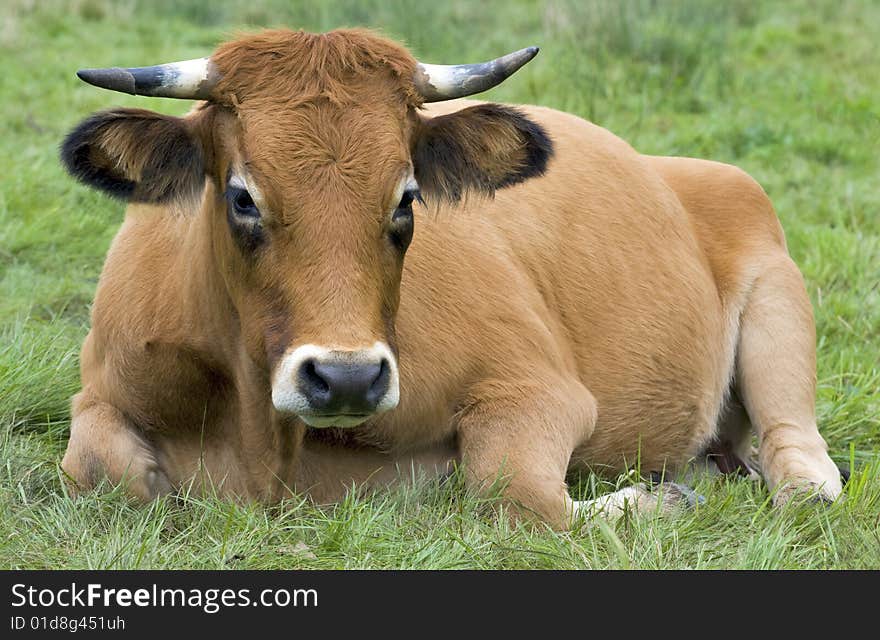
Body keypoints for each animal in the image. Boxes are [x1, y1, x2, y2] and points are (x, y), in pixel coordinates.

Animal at [58, 27, 844, 528]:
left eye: (407, 197)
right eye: (242, 197)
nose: (346, 379)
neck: (263, 447)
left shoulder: (537, 387)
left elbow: (516, 495)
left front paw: (658, 501)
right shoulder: (100, 393)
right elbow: (102, 469)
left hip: (776, 294)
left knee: (792, 441)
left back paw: (796, 489)